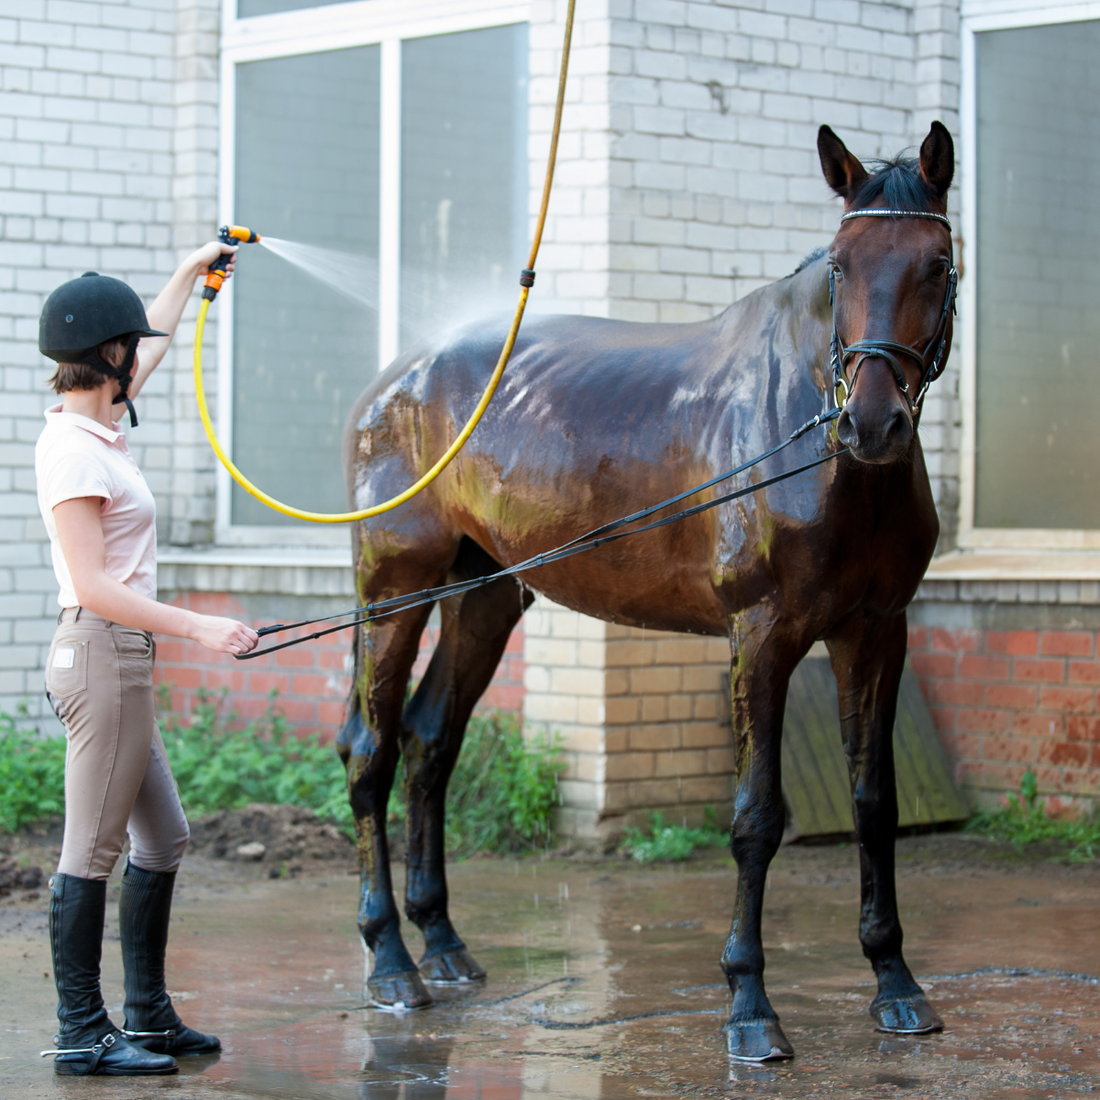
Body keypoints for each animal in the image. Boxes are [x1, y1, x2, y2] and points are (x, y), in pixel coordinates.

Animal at [337, 121, 956, 1061]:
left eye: (938, 262)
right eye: (843, 267)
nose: (874, 422)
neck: (815, 447)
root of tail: (394, 383)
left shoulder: (878, 632)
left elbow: (875, 802)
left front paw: (896, 985)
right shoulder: (762, 634)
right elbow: (755, 816)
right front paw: (749, 1007)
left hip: (482, 598)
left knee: (430, 741)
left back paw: (441, 945)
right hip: (393, 594)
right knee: (373, 753)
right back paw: (390, 965)